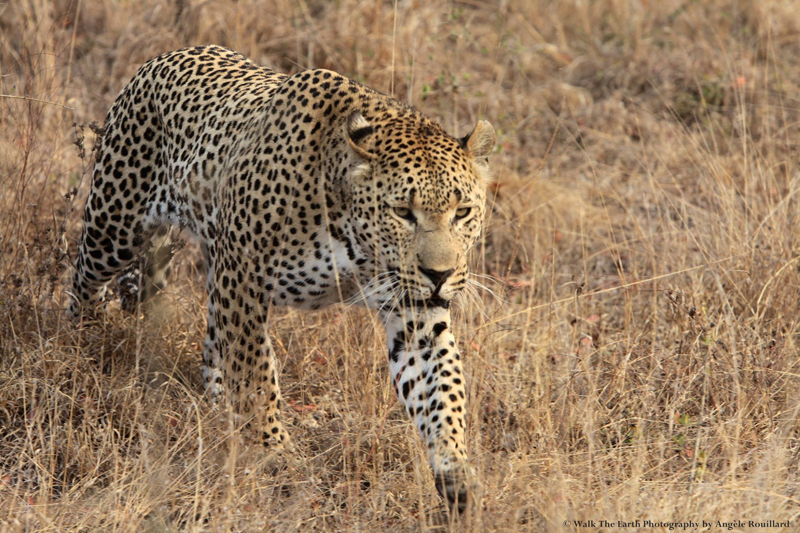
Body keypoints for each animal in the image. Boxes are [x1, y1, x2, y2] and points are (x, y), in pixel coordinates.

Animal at [68, 45, 496, 512]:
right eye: (402, 212)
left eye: (463, 212)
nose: (440, 274)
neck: (355, 239)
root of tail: (166, 56)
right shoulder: (243, 274)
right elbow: (256, 372)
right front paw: (275, 453)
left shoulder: (414, 310)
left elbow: (442, 390)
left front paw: (455, 472)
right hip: (115, 229)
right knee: (83, 281)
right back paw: (77, 343)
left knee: (211, 344)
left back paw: (218, 406)